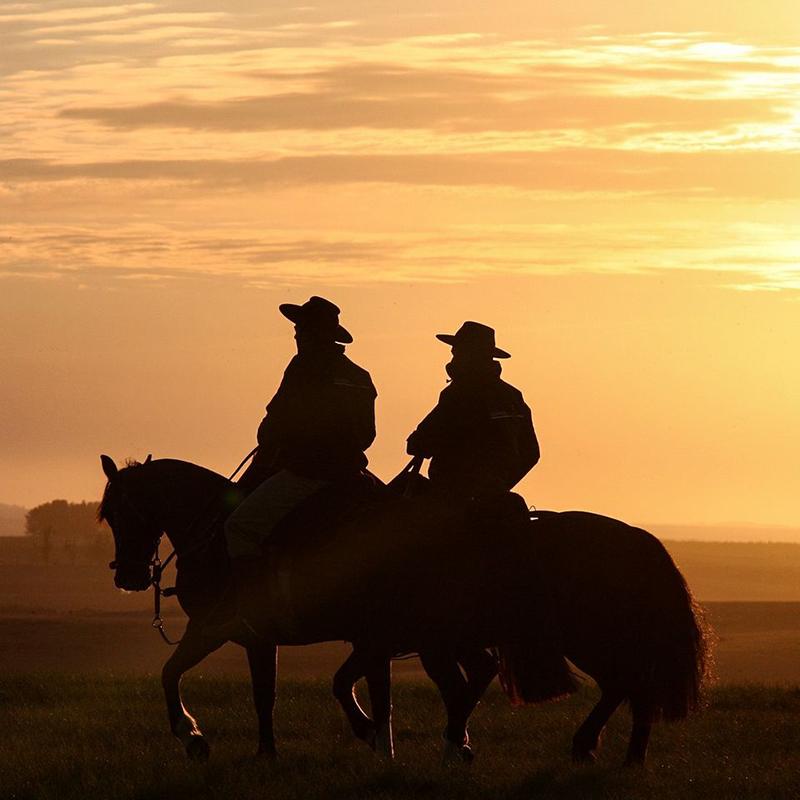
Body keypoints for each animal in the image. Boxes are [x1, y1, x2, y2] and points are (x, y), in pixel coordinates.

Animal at [98, 454, 708, 764]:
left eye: (118, 512)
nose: (129, 577)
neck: (217, 527)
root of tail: (637, 537)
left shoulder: (223, 627)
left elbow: (177, 675)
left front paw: (194, 736)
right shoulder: (298, 638)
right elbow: (291, 691)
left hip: (586, 637)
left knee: (625, 683)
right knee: (622, 686)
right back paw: (612, 752)